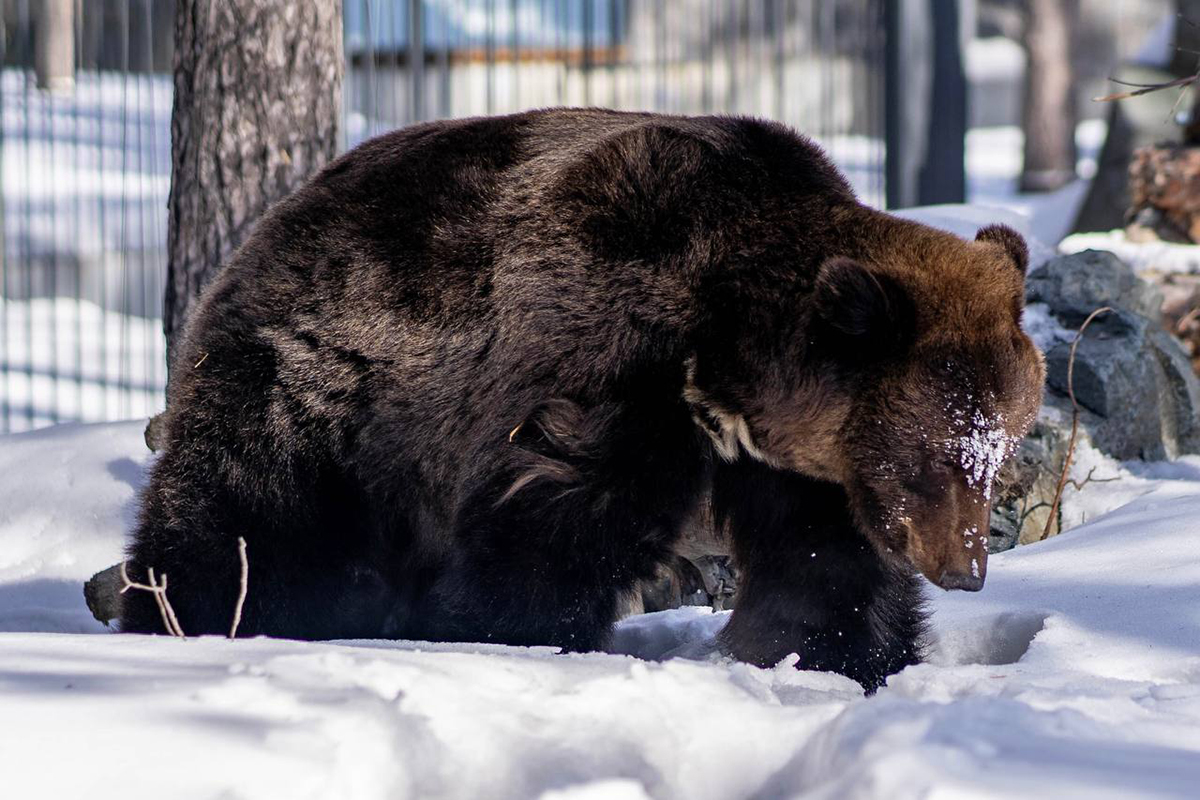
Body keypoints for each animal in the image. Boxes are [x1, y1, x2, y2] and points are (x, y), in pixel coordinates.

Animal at [117, 109, 1046, 690]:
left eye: (998, 453)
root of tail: (271, 221)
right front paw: (505, 635)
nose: (965, 568)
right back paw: (181, 610)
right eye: (932, 456)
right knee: (245, 509)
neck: (720, 355)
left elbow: (826, 567)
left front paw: (833, 657)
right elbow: (550, 529)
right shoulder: (601, 367)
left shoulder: (792, 464)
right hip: (328, 387)